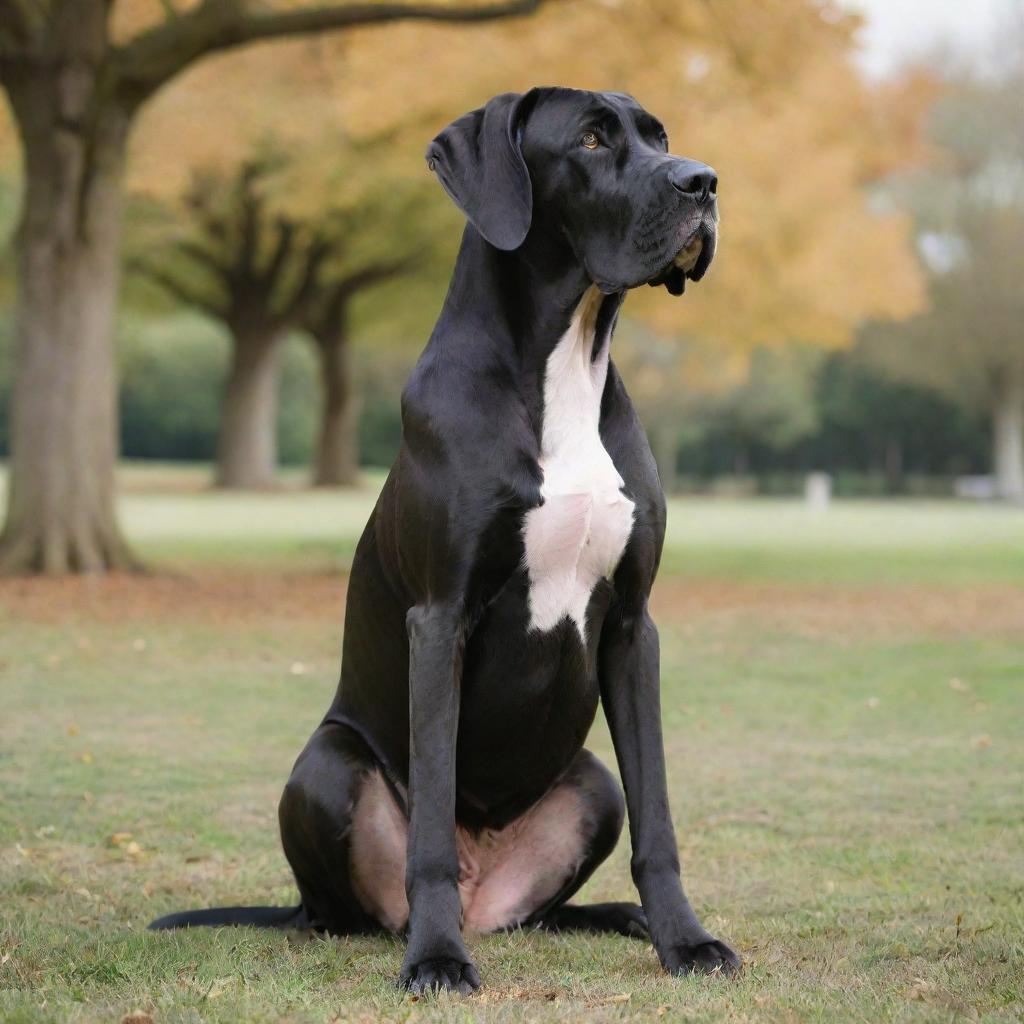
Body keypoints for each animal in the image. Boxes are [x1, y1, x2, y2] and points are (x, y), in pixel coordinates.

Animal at [149, 88, 737, 991]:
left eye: (660, 135)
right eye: (590, 138)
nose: (703, 182)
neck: (565, 361)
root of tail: (485, 887)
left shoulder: (634, 627)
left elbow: (659, 816)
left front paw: (686, 939)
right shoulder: (439, 618)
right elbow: (427, 818)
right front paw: (436, 958)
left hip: (590, 781)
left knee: (554, 898)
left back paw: (617, 918)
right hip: (328, 765)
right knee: (341, 909)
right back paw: (414, 928)